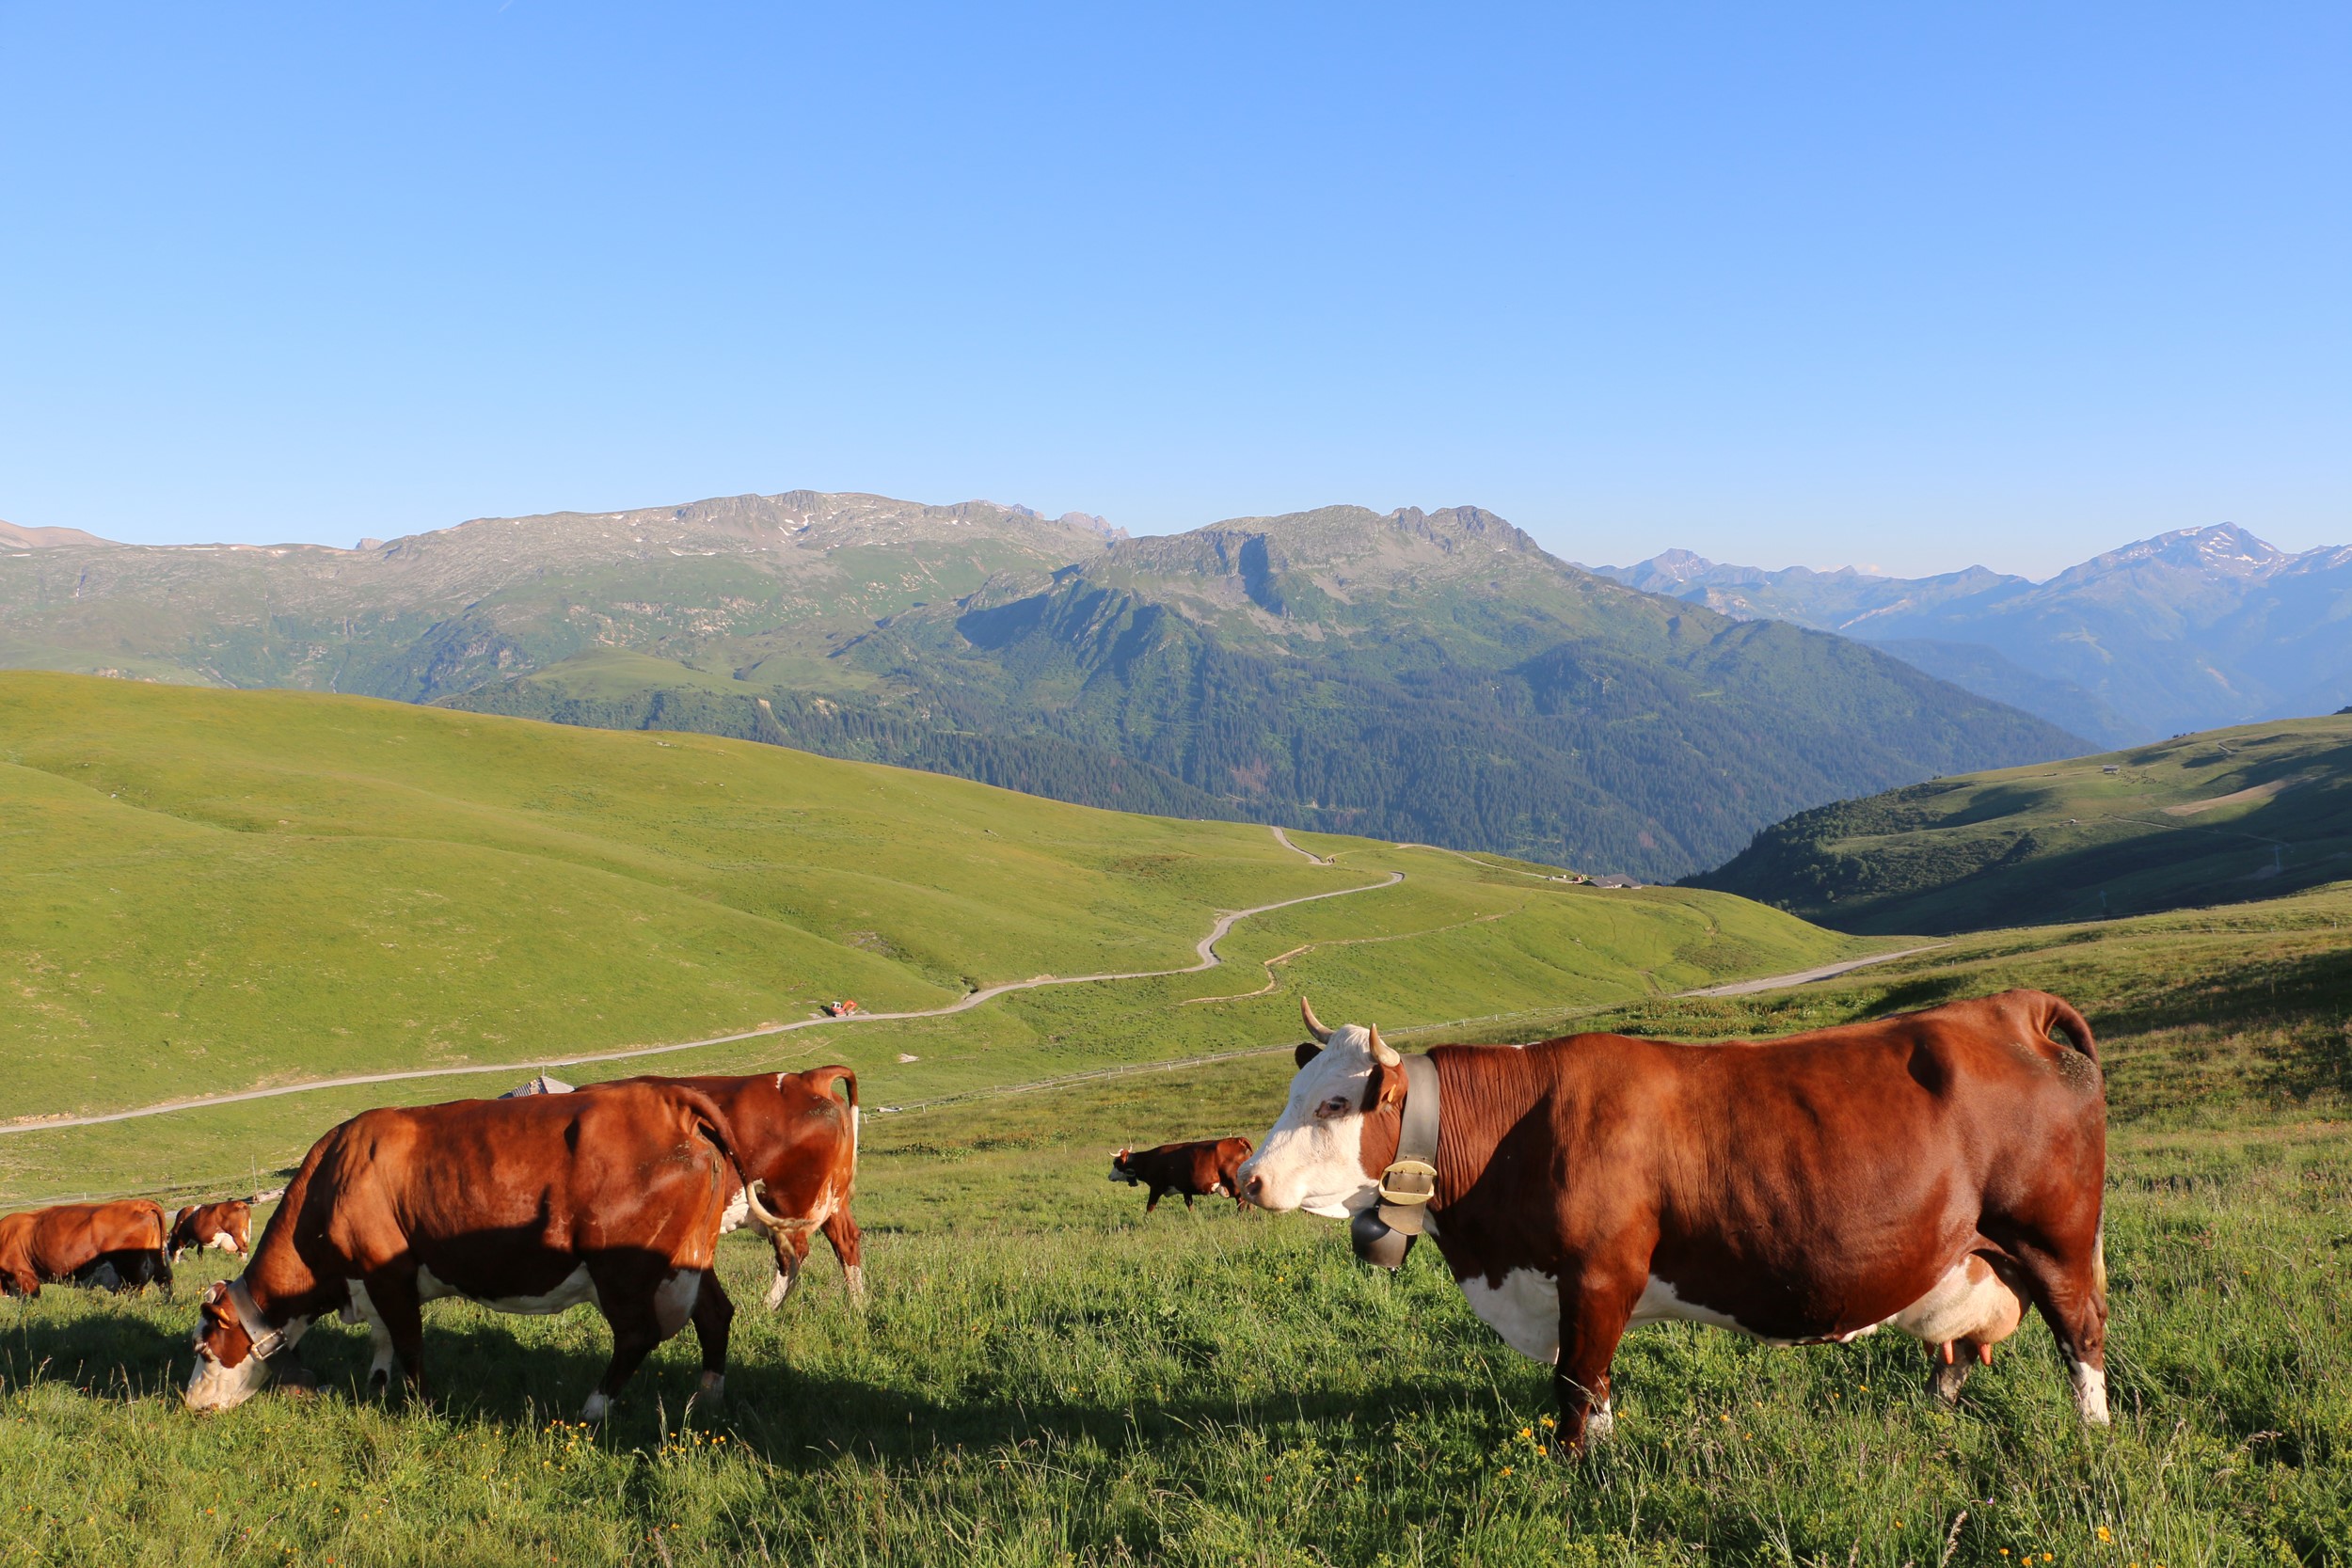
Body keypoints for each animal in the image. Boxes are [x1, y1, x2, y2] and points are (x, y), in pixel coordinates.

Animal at [0, 1200, 172, 1297]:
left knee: (135, 1293)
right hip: (157, 1263)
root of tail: (139, 1204)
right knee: (165, 1284)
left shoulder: (24, 1275)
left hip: (130, 1269)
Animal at [184, 1080, 792, 1418]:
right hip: (689, 1260)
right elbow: (383, 1343)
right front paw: (377, 1390)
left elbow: (409, 1345)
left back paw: (595, 1408)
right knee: (715, 1315)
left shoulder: (389, 1275)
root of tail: (669, 1099)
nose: (189, 1404)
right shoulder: (372, 1282)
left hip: (623, 1267)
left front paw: (421, 1406)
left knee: (637, 1336)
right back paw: (707, 1397)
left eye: (207, 1351)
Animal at [611, 1066, 864, 1309]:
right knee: (846, 1240)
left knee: (794, 1252)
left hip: (788, 1204)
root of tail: (808, 1078)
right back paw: (858, 1306)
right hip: (833, 1199)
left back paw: (766, 1309)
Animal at [1108, 1138, 1253, 1212]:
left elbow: (1150, 1206)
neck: (1149, 1160)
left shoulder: (1156, 1187)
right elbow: (1190, 1205)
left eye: (1116, 1163)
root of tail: (1237, 1140)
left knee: (1241, 1202)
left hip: (1234, 1184)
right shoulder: (1186, 1189)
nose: (1109, 1177)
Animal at [1238, 993, 2109, 1452]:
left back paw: (2092, 1433)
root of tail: (2010, 1007)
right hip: (1969, 1253)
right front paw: (1605, 1458)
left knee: (2082, 1334)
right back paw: (1933, 1420)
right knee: (1957, 1346)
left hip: (2055, 1239)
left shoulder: (1598, 1273)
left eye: (1334, 1103)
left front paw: (1575, 1468)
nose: (1248, 1177)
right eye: (1298, 1091)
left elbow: (1575, 1381)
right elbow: (1594, 1382)